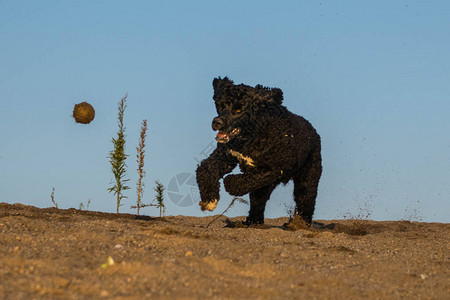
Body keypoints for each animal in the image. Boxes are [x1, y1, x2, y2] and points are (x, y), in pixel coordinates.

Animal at [196, 77, 320, 225]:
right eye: (221, 106)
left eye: (239, 109)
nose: (216, 122)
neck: (251, 135)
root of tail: (313, 131)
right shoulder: (226, 155)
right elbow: (205, 168)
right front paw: (209, 200)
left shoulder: (275, 168)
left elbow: (242, 180)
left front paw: (229, 183)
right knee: (258, 201)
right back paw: (253, 221)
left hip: (308, 175)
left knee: (306, 199)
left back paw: (299, 224)